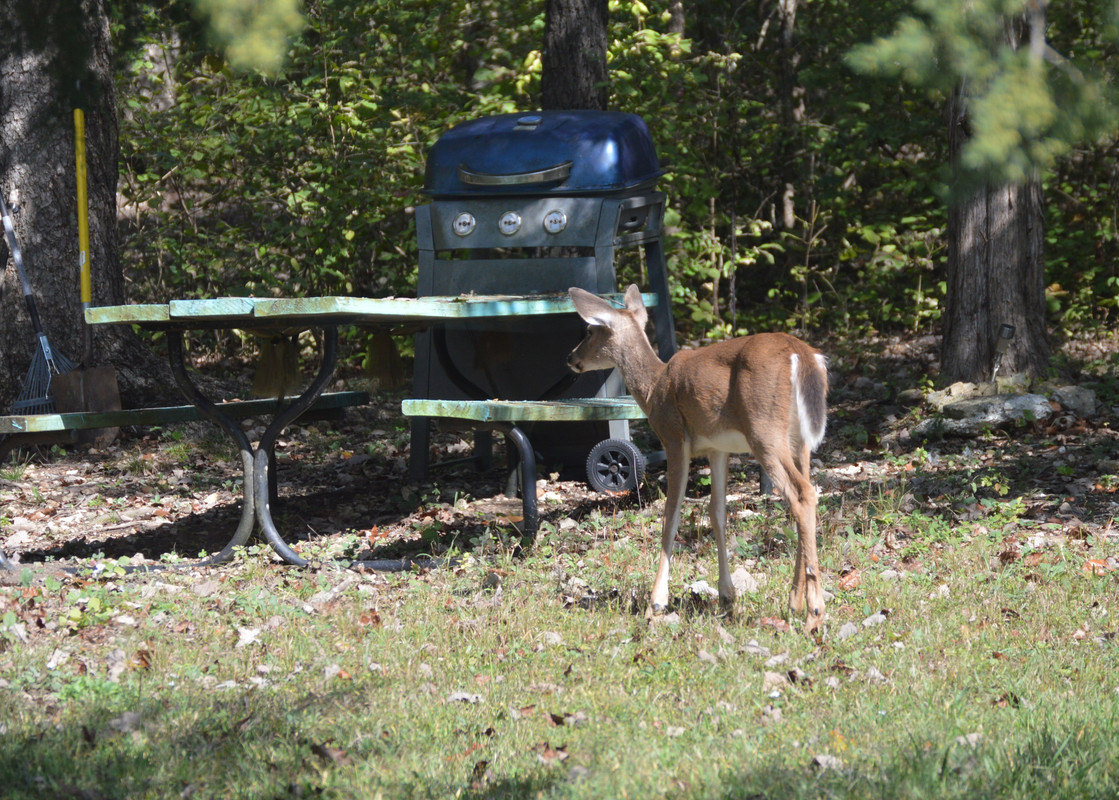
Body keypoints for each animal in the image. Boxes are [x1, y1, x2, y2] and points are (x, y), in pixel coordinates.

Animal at [567, 285, 829, 633]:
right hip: (799, 441)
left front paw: (656, 603)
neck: (653, 388)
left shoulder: (674, 437)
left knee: (802, 494)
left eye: (589, 331)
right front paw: (727, 596)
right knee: (805, 494)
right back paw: (794, 601)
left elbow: (670, 516)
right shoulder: (717, 448)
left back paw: (814, 613)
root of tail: (803, 355)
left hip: (765, 429)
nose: (571, 358)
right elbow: (717, 512)